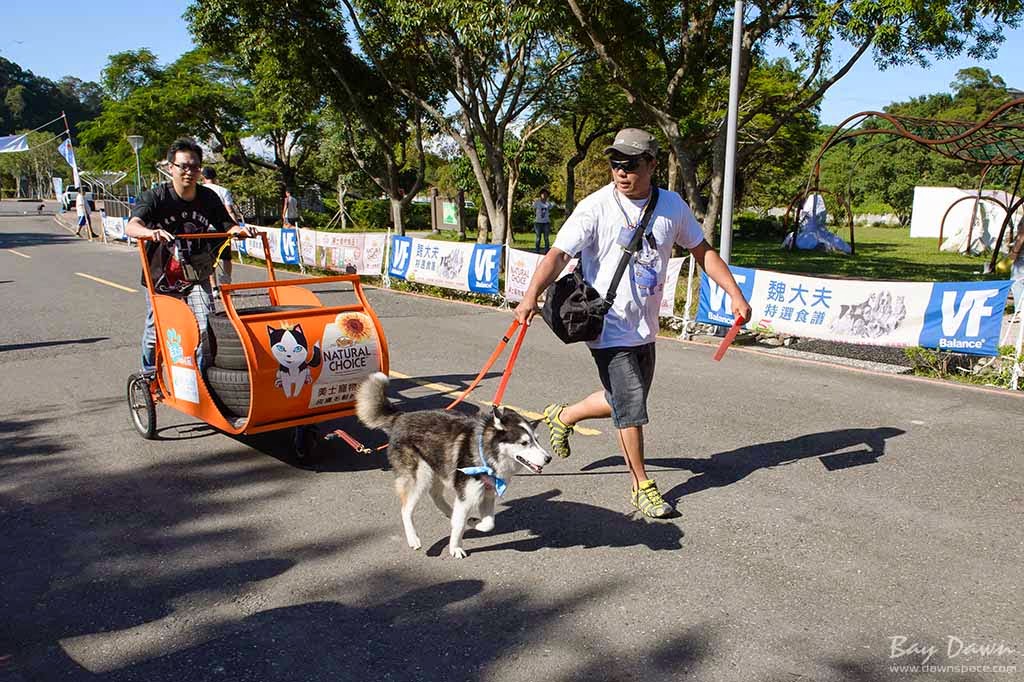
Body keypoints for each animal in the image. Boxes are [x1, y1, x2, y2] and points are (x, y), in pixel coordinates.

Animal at [358, 372, 552, 557]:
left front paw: (475, 522)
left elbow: (489, 523)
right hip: (420, 476)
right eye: (524, 443)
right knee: (406, 510)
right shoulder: (467, 494)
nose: (548, 458)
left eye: (536, 439)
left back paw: (452, 514)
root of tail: (400, 417)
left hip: (438, 468)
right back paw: (414, 538)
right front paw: (455, 548)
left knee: (437, 497)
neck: (486, 453)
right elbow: (459, 526)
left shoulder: (487, 494)